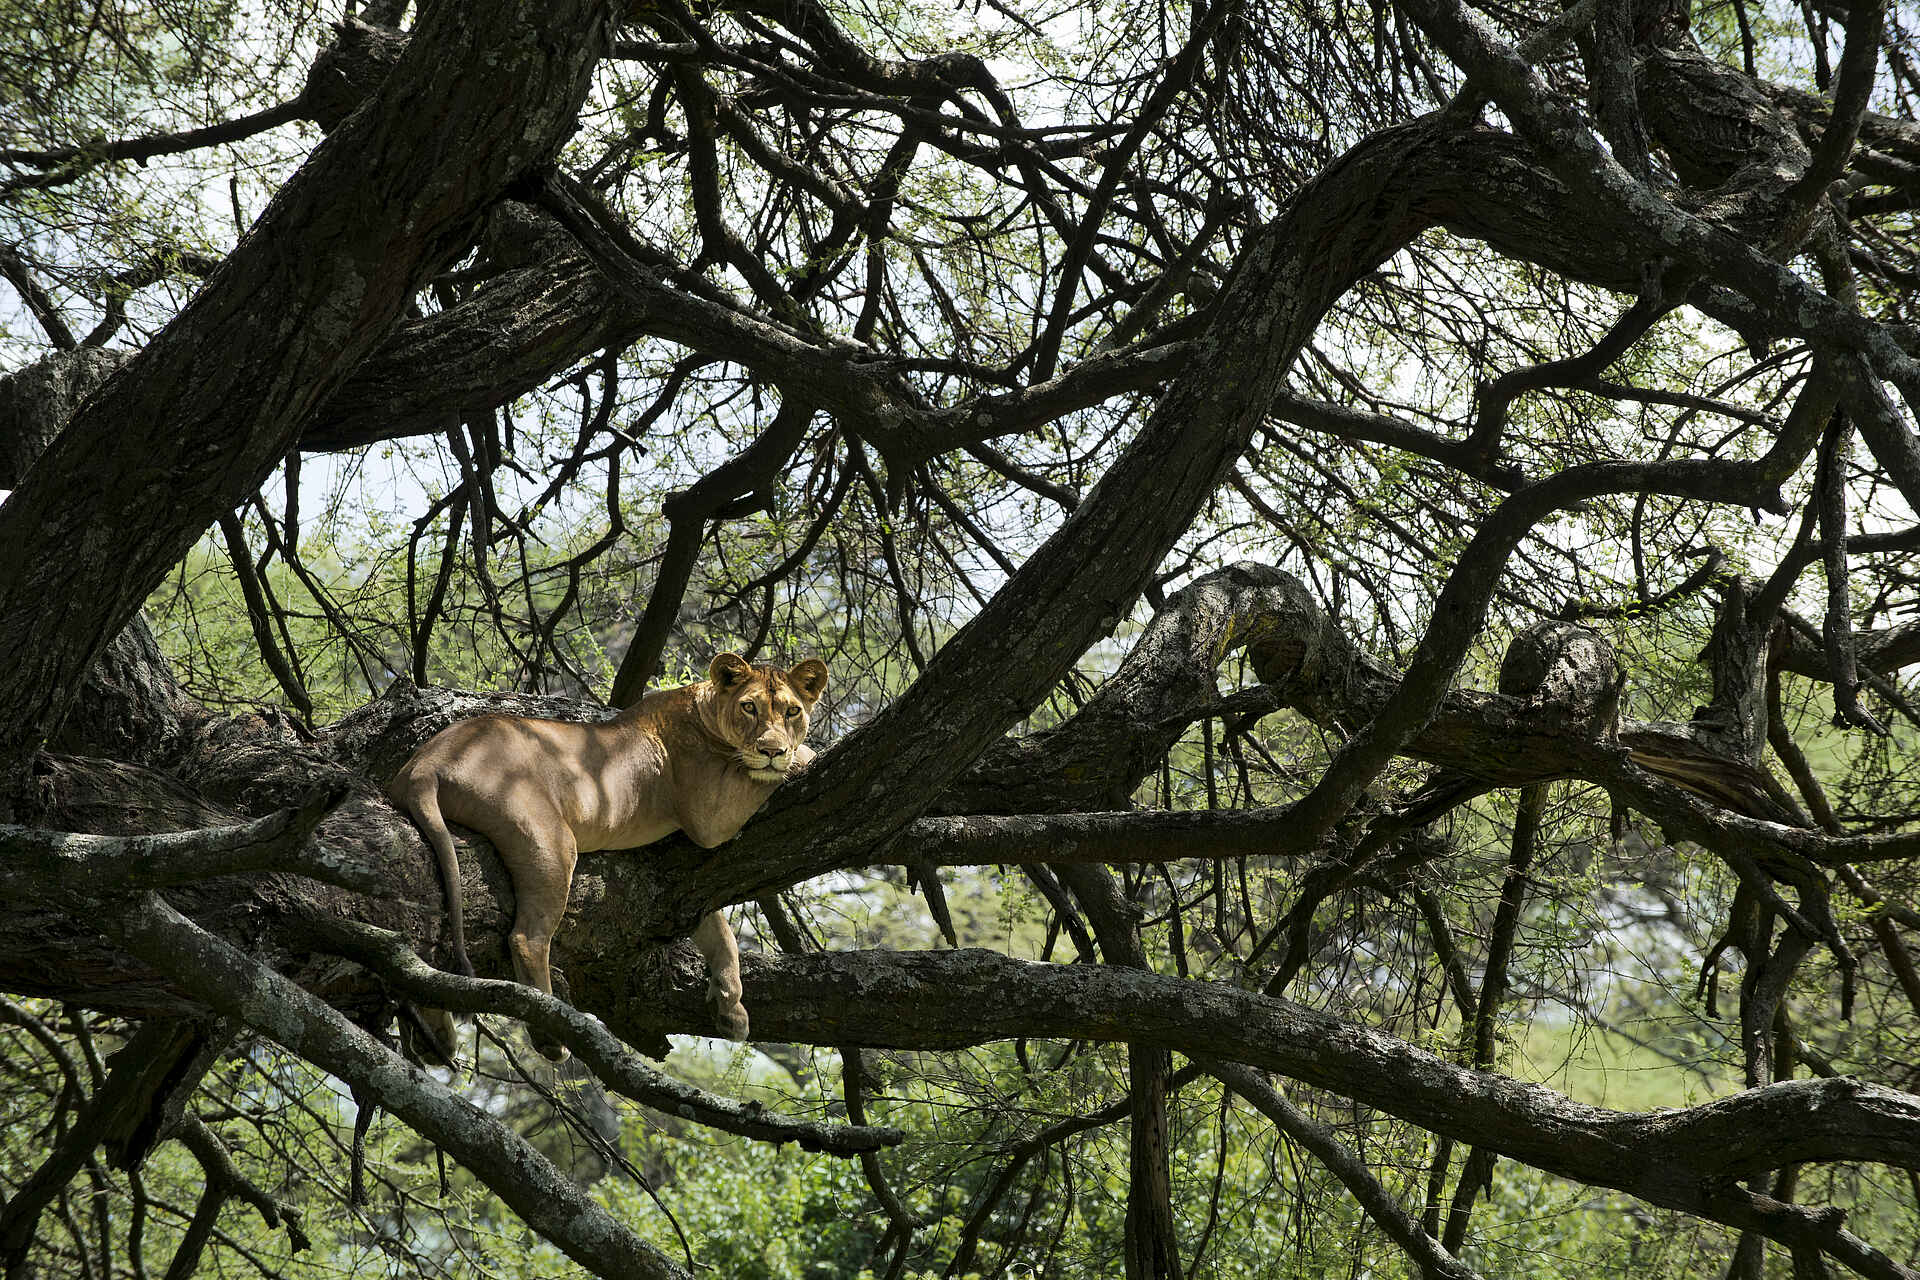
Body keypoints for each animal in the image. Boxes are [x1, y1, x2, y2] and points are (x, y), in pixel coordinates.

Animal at [386, 652, 828, 1057]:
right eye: (749, 707)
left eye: (792, 710)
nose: (771, 749)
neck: (704, 712)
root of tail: (425, 764)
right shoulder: (709, 817)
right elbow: (767, 774)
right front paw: (801, 756)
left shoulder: (682, 882)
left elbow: (718, 931)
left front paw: (731, 1008)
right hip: (548, 837)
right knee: (527, 937)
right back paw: (550, 1034)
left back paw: (437, 1038)